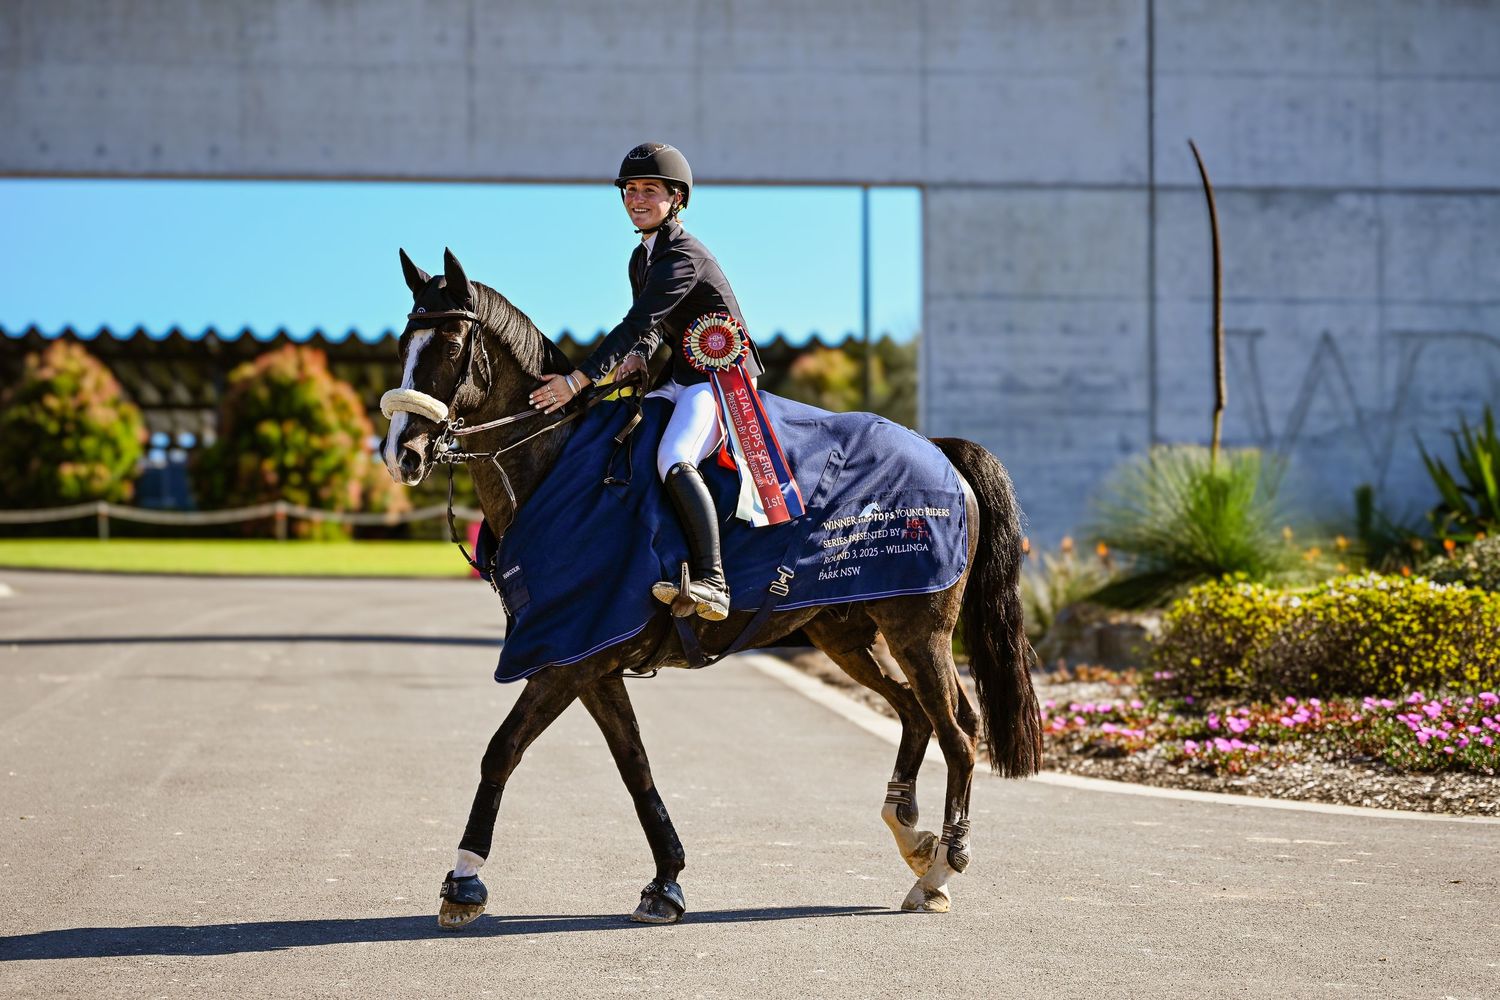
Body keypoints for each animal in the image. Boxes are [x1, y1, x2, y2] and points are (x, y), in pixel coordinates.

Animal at [381, 248, 1042, 929]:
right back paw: (913, 838)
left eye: (451, 343)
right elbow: (634, 765)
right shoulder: (588, 660)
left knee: (957, 735)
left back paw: (939, 871)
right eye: (404, 342)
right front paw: (665, 882)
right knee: (917, 713)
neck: (557, 467)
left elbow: (503, 748)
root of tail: (939, 452)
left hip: (917, 631)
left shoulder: (569, 660)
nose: (401, 453)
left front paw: (463, 883)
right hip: (848, 634)